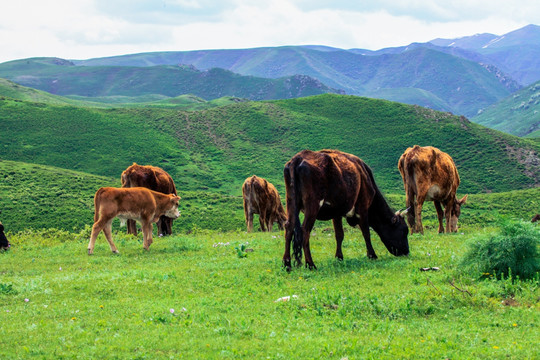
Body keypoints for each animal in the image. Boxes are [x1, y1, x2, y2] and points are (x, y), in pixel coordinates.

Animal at [282, 149, 410, 270]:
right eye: (404, 230)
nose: (407, 252)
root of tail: (299, 157)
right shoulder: (363, 207)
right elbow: (366, 232)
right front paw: (372, 255)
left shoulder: (336, 212)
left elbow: (339, 234)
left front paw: (339, 257)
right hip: (312, 204)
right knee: (305, 230)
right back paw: (310, 264)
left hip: (291, 202)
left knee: (289, 227)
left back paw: (287, 264)